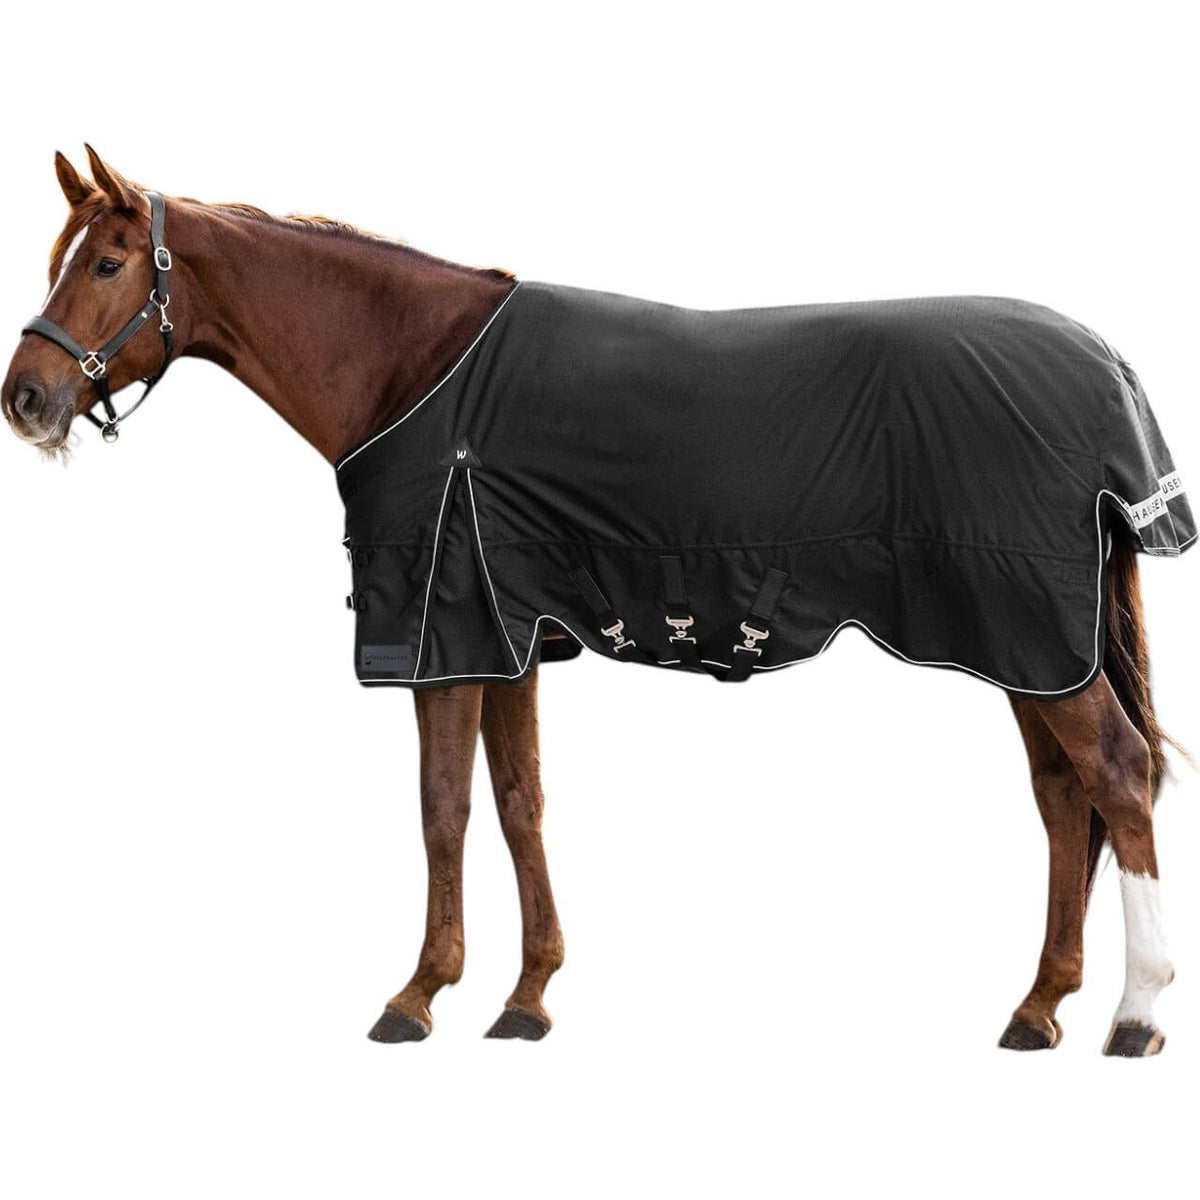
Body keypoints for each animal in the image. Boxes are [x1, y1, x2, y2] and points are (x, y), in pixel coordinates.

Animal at [2, 147, 1189, 1056]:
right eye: (59, 259)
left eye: (106, 262)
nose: (26, 398)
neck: (412, 367)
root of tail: (1105, 365)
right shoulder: (511, 640)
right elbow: (520, 802)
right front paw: (526, 998)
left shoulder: (443, 635)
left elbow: (443, 809)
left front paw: (417, 995)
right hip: (1033, 647)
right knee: (1062, 797)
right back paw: (1039, 1007)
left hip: (1032, 634)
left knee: (1116, 775)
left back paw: (1135, 1013)